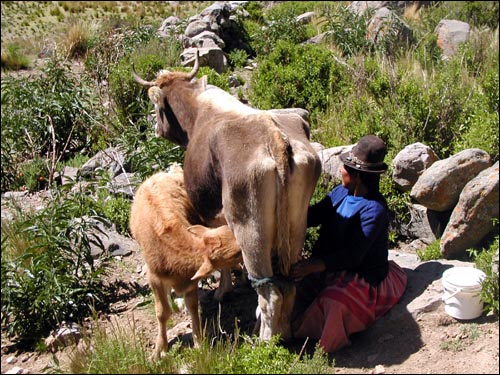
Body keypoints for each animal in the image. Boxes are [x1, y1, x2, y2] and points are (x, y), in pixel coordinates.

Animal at [130, 164, 243, 358]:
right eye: (235, 253)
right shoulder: (154, 279)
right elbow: (162, 313)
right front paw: (160, 349)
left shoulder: (190, 281)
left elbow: (193, 306)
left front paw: (199, 343)